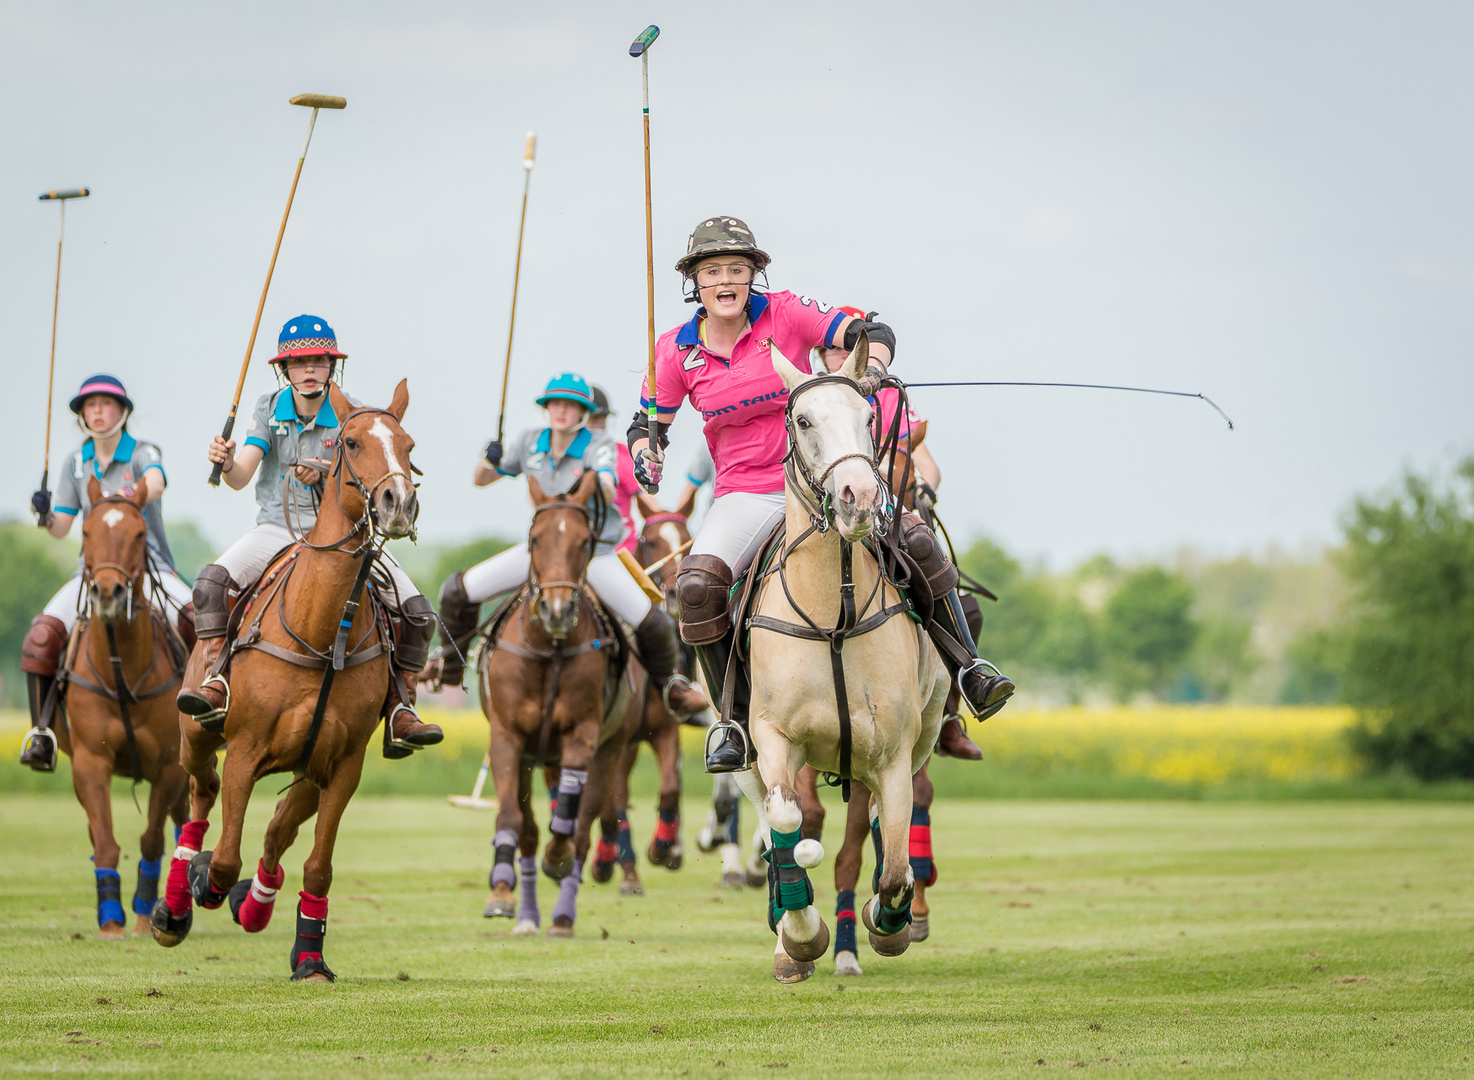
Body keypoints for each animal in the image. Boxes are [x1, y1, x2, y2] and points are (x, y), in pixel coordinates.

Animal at [57, 480, 190, 937]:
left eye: (138, 534)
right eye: (85, 532)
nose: (108, 593)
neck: (122, 672)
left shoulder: (170, 766)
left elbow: (151, 840)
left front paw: (145, 915)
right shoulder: (89, 761)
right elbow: (106, 842)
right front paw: (111, 919)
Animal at [149, 380, 418, 978]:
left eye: (409, 445)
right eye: (351, 442)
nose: (399, 503)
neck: (320, 632)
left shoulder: (343, 766)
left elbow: (316, 865)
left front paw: (310, 958)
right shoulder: (246, 750)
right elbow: (225, 858)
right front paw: (201, 884)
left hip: (308, 770)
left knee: (276, 830)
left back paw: (254, 905)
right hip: (195, 735)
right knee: (203, 793)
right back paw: (175, 904)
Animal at [477, 471, 639, 937]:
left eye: (586, 541)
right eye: (534, 538)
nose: (557, 610)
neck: (549, 649)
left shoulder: (582, 735)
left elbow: (568, 821)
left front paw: (557, 858)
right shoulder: (508, 738)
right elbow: (512, 819)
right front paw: (501, 890)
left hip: (609, 750)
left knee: (581, 827)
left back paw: (563, 916)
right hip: (535, 758)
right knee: (530, 830)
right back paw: (527, 915)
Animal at [589, 492, 698, 895]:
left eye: (688, 539)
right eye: (650, 542)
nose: (676, 594)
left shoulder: (665, 728)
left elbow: (670, 788)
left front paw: (662, 848)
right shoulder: (616, 739)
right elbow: (614, 803)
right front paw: (612, 864)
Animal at [731, 338, 949, 984]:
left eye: (869, 419)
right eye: (803, 421)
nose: (859, 499)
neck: (835, 612)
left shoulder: (894, 753)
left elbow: (894, 865)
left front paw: (888, 922)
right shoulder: (773, 737)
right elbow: (786, 824)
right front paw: (802, 933)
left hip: (921, 734)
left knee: (878, 827)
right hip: (741, 749)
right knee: (769, 817)